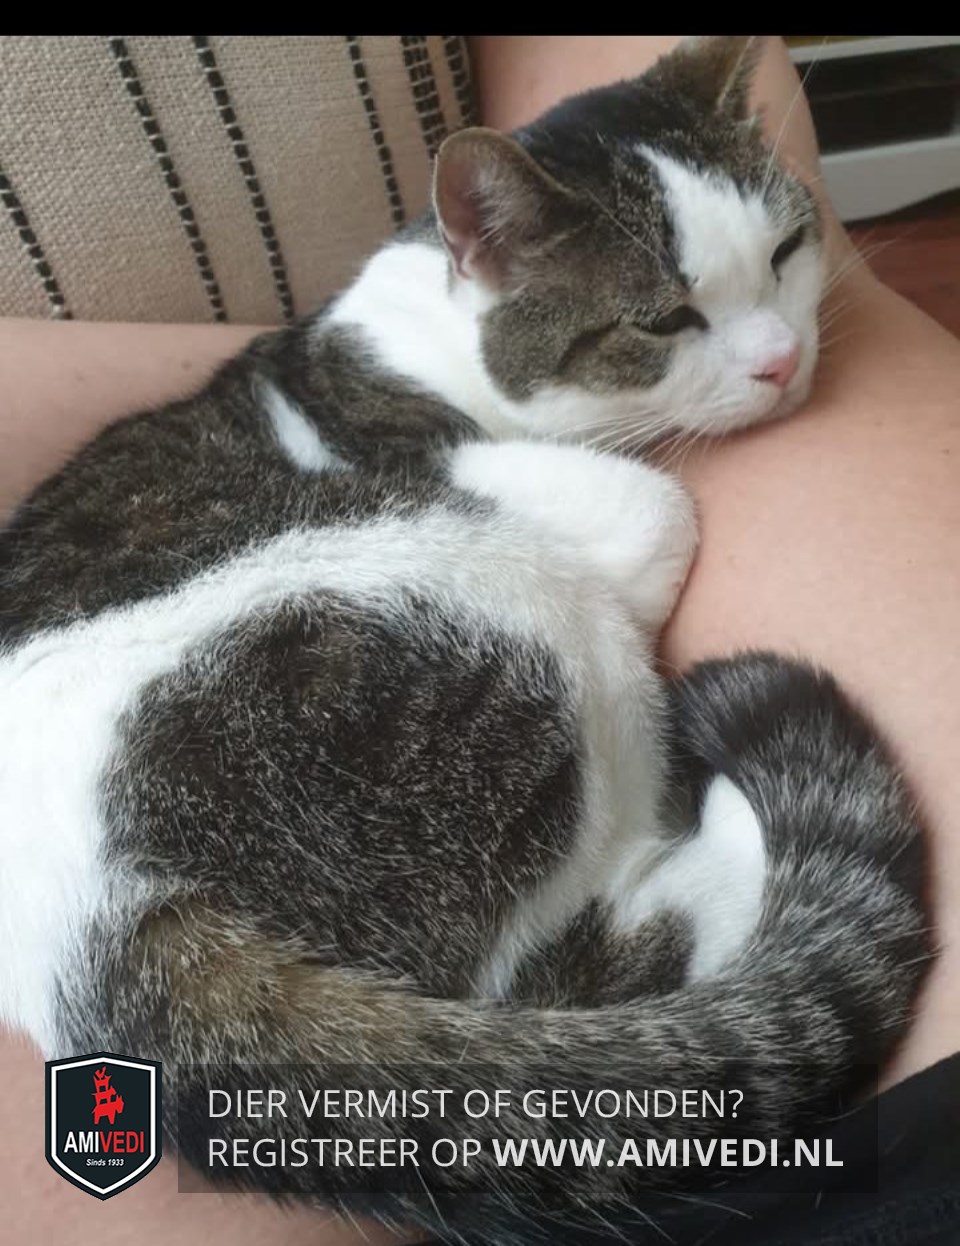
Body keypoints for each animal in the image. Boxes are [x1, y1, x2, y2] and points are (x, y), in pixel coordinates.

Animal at [0, 34, 929, 1241]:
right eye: (664, 321)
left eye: (784, 251)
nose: (781, 360)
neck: (424, 341)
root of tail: (98, 939)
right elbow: (658, 514)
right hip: (495, 618)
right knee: (571, 990)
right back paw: (735, 816)